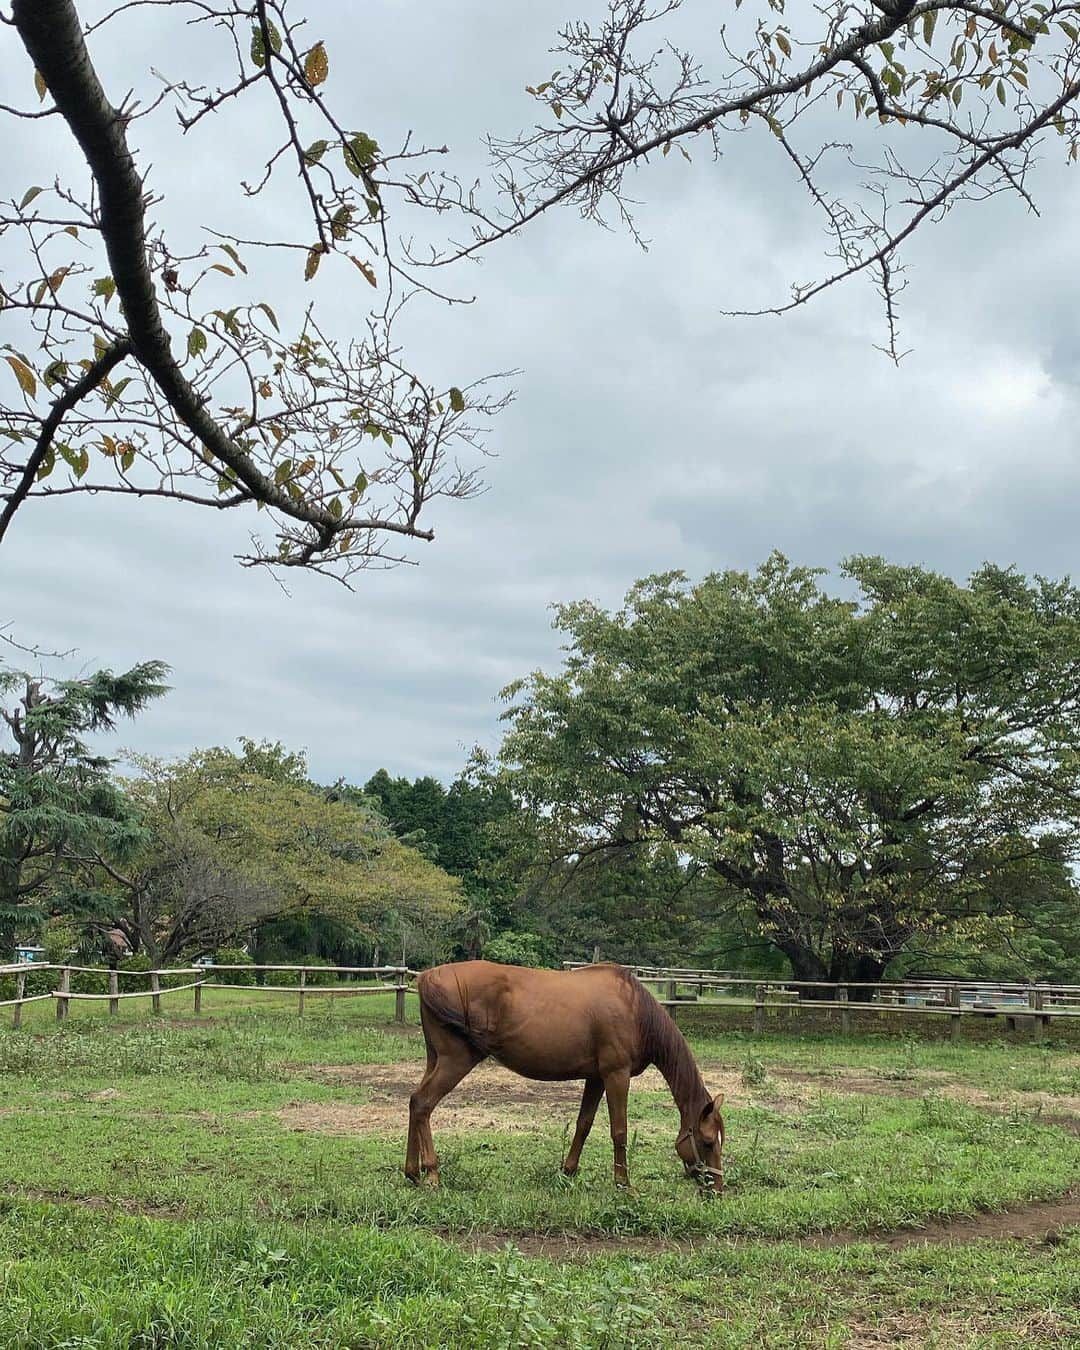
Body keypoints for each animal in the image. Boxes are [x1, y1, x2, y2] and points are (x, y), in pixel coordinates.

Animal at [405, 961, 723, 1193]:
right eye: (707, 1142)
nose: (717, 1187)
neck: (634, 1009)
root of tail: (427, 977)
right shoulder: (616, 1075)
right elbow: (619, 1130)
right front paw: (623, 1184)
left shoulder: (596, 1078)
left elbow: (584, 1124)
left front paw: (568, 1172)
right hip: (456, 1062)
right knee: (423, 1103)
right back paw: (432, 1173)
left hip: (435, 1061)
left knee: (414, 1103)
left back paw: (412, 1172)